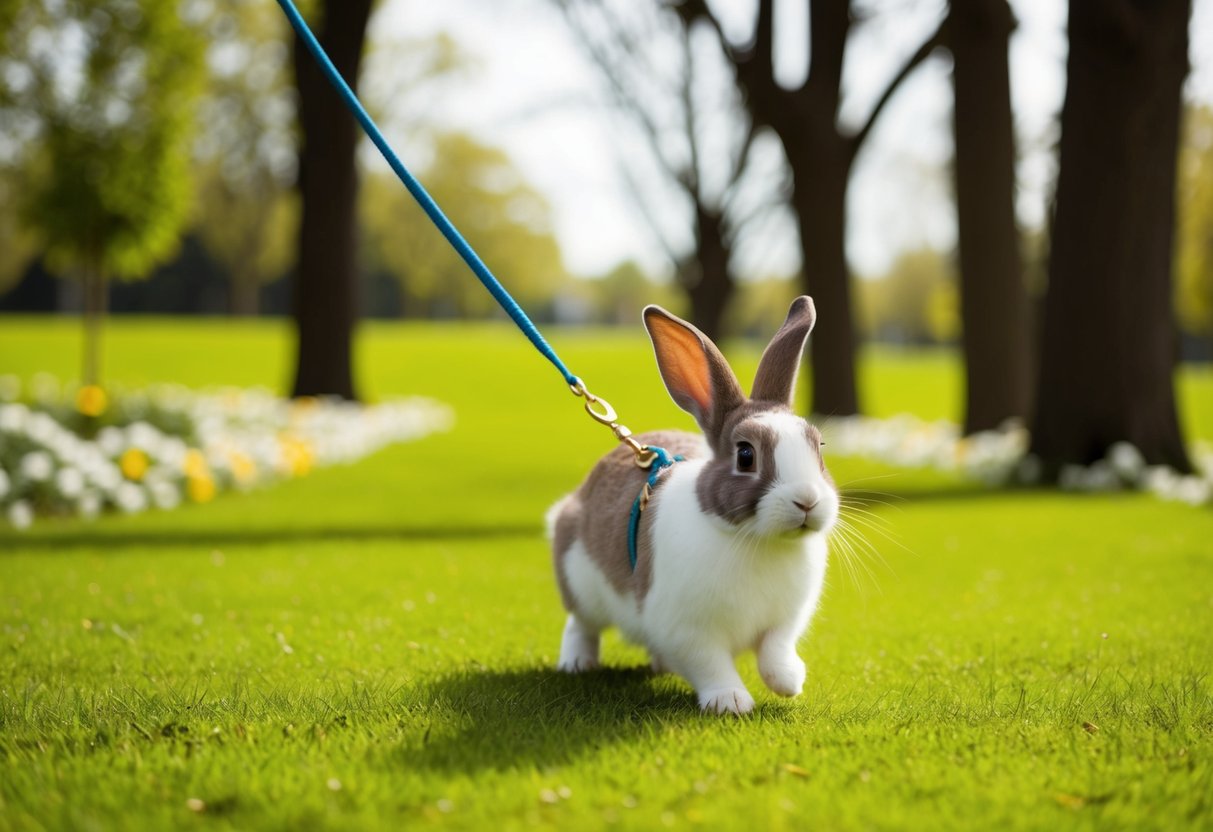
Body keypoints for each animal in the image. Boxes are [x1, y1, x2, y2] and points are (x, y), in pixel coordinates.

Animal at [547, 296, 837, 715]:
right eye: (745, 455)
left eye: (819, 447)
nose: (808, 501)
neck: (756, 540)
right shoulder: (688, 630)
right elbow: (711, 665)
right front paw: (731, 702)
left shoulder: (784, 620)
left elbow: (774, 650)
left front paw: (789, 681)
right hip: (580, 582)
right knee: (581, 625)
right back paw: (577, 663)